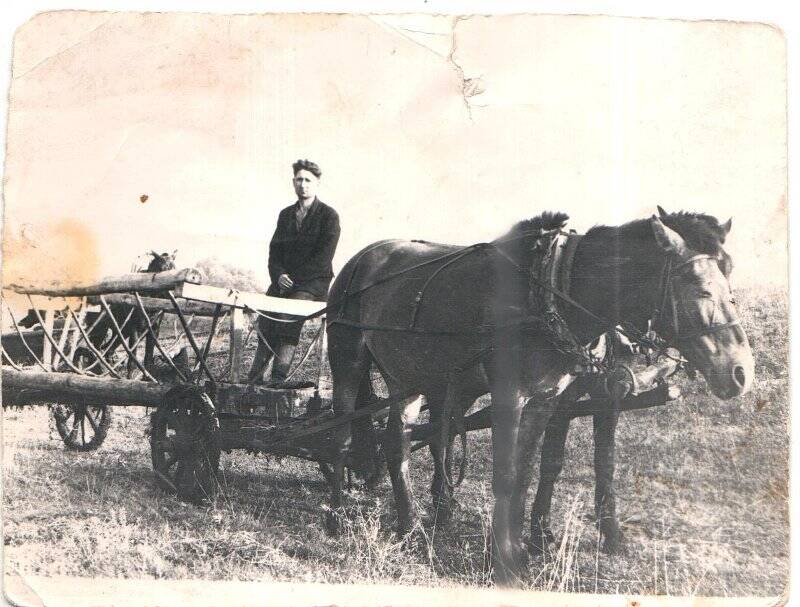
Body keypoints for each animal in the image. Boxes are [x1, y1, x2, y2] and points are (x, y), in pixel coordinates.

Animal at [324, 209, 752, 584]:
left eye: (731, 277)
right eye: (698, 286)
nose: (741, 371)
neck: (553, 290)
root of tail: (363, 256)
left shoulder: (552, 398)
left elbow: (532, 471)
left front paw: (523, 548)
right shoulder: (510, 398)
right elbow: (507, 474)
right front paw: (505, 557)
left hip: (409, 376)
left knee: (399, 440)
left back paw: (413, 523)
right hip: (348, 361)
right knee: (343, 436)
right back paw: (336, 516)